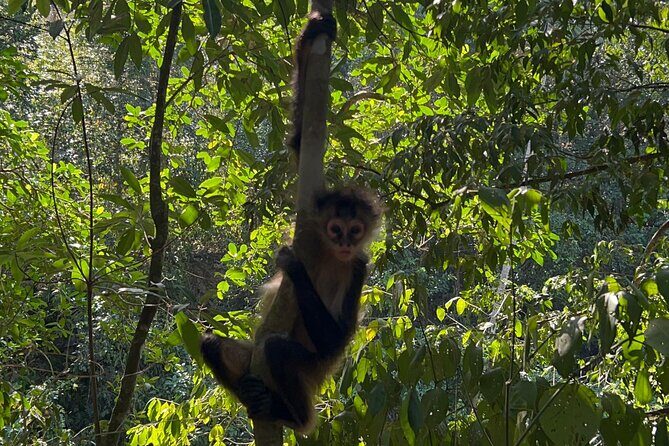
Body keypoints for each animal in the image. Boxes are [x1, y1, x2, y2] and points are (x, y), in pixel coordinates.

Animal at [201, 187, 382, 433]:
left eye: (355, 231)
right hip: (252, 359)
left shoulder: (357, 266)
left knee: (277, 347)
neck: (329, 254)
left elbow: (336, 340)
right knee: (210, 344)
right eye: (336, 229)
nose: (345, 244)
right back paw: (250, 394)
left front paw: (295, 268)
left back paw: (294, 418)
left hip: (313, 365)